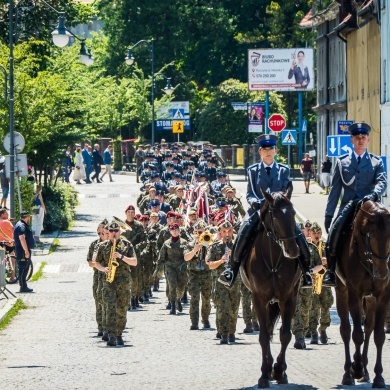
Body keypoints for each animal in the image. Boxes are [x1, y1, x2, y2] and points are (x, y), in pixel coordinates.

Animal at [241, 182, 302, 386]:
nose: (293, 250)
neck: (274, 259)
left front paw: (279, 371)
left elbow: (285, 334)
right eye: (275, 216)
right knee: (266, 330)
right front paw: (264, 374)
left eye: (292, 213)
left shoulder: (288, 298)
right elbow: (263, 336)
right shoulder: (259, 298)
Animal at [336, 200, 390, 388]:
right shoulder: (354, 294)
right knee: (346, 330)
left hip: (370, 299)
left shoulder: (382, 297)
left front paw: (378, 377)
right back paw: (348, 372)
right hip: (342, 292)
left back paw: (365, 372)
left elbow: (379, 336)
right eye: (371, 237)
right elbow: (357, 335)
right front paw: (356, 367)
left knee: (368, 327)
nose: (382, 273)